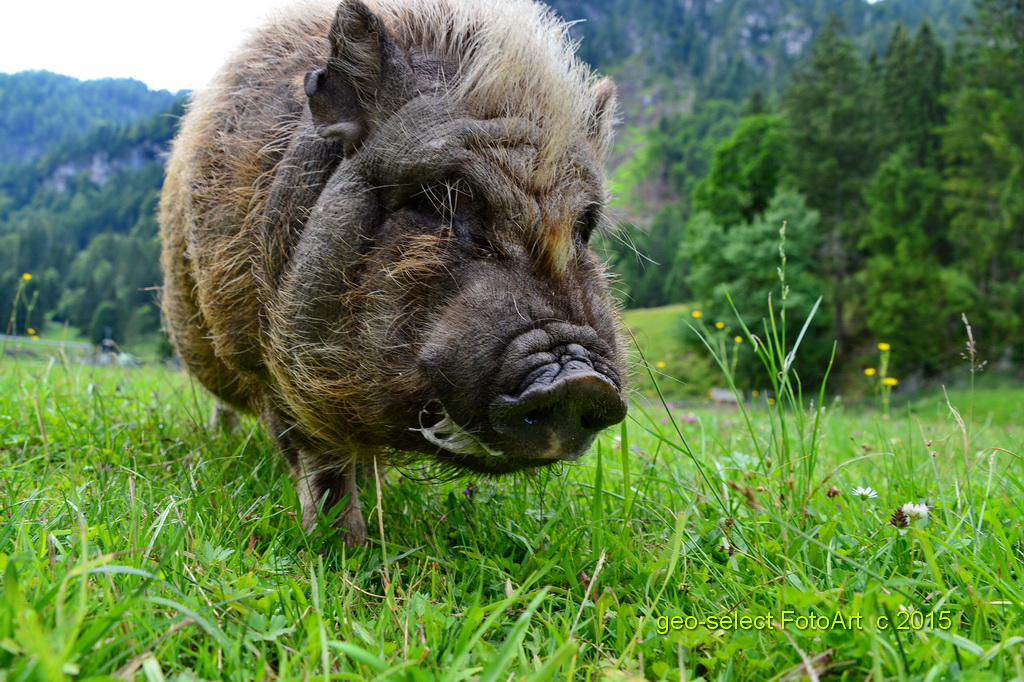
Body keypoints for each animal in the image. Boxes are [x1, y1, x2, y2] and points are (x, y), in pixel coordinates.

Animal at [159, 0, 626, 540]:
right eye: (435, 199)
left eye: (583, 226)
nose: (578, 378)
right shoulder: (264, 357)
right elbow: (321, 466)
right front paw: (342, 549)